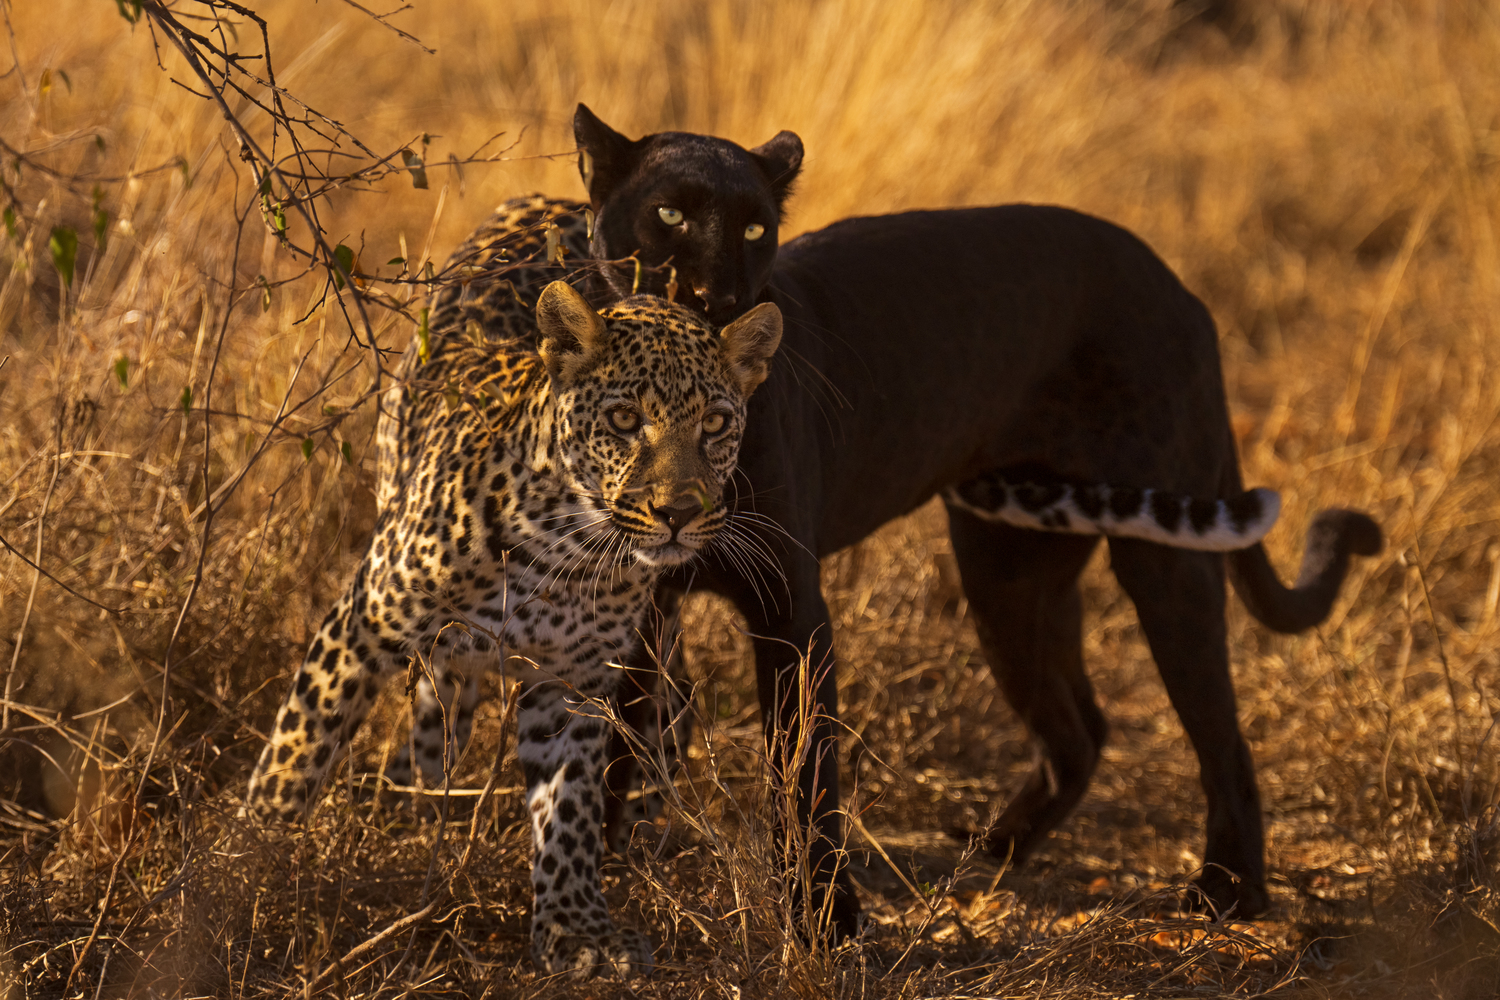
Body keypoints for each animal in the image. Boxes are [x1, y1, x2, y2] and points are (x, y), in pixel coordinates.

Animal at [245, 275, 783, 978]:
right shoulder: (361, 623)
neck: (566, 552)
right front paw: (245, 872)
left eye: (715, 423)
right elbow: (297, 753)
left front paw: (575, 926)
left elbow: (570, 807)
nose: (678, 513)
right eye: (624, 420)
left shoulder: (574, 683)